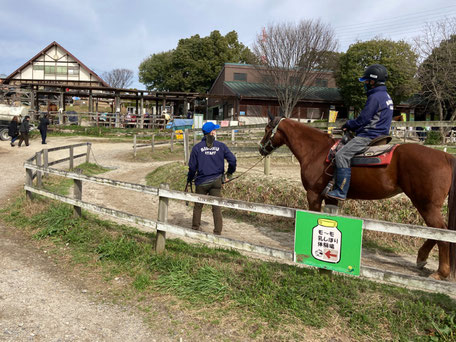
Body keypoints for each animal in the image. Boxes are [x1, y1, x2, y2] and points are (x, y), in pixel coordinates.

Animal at [260, 116, 456, 280]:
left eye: (267, 128)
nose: (261, 147)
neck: (316, 151)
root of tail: (446, 156)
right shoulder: (330, 197)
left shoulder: (313, 194)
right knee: (437, 231)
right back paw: (422, 258)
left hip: (425, 204)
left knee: (440, 232)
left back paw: (441, 272)